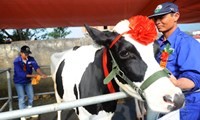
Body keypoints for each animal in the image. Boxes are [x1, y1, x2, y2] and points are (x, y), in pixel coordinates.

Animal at [50, 15, 185, 120]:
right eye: (124, 53)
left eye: (158, 51)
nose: (176, 98)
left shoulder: (108, 114)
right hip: (57, 93)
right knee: (58, 109)